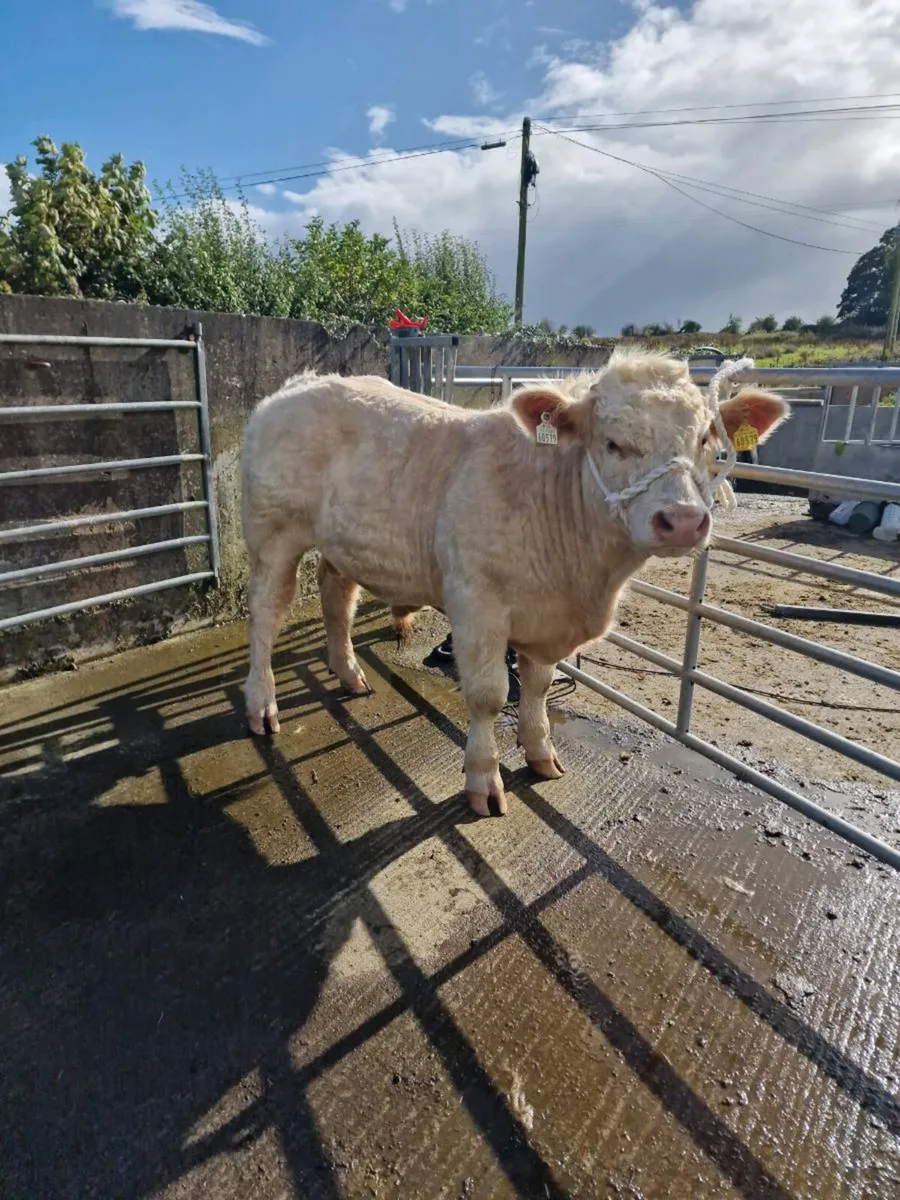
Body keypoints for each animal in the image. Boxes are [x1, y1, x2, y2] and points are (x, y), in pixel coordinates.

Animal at [240, 350, 789, 816]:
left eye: (706, 441)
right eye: (613, 443)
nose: (682, 521)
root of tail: (298, 385)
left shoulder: (546, 620)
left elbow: (539, 687)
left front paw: (541, 752)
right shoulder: (477, 604)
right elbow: (488, 694)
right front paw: (484, 780)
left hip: (341, 542)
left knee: (336, 596)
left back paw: (349, 673)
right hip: (273, 536)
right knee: (266, 616)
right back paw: (262, 705)